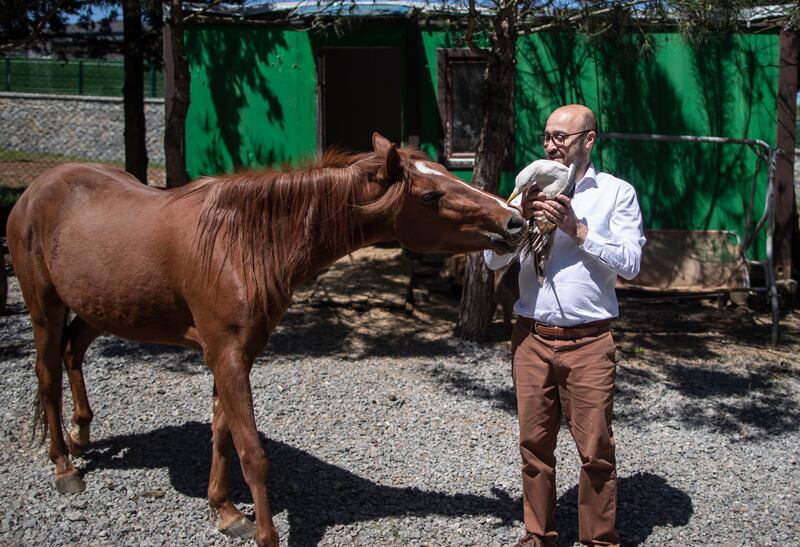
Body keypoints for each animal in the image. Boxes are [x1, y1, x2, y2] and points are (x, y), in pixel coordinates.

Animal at [6, 134, 524, 547]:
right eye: (431, 194)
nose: (514, 221)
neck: (239, 243)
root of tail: (37, 188)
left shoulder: (235, 356)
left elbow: (222, 434)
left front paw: (225, 511)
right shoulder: (226, 356)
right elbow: (252, 453)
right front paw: (264, 533)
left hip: (102, 308)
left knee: (73, 352)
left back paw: (82, 435)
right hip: (44, 308)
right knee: (47, 375)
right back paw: (64, 466)